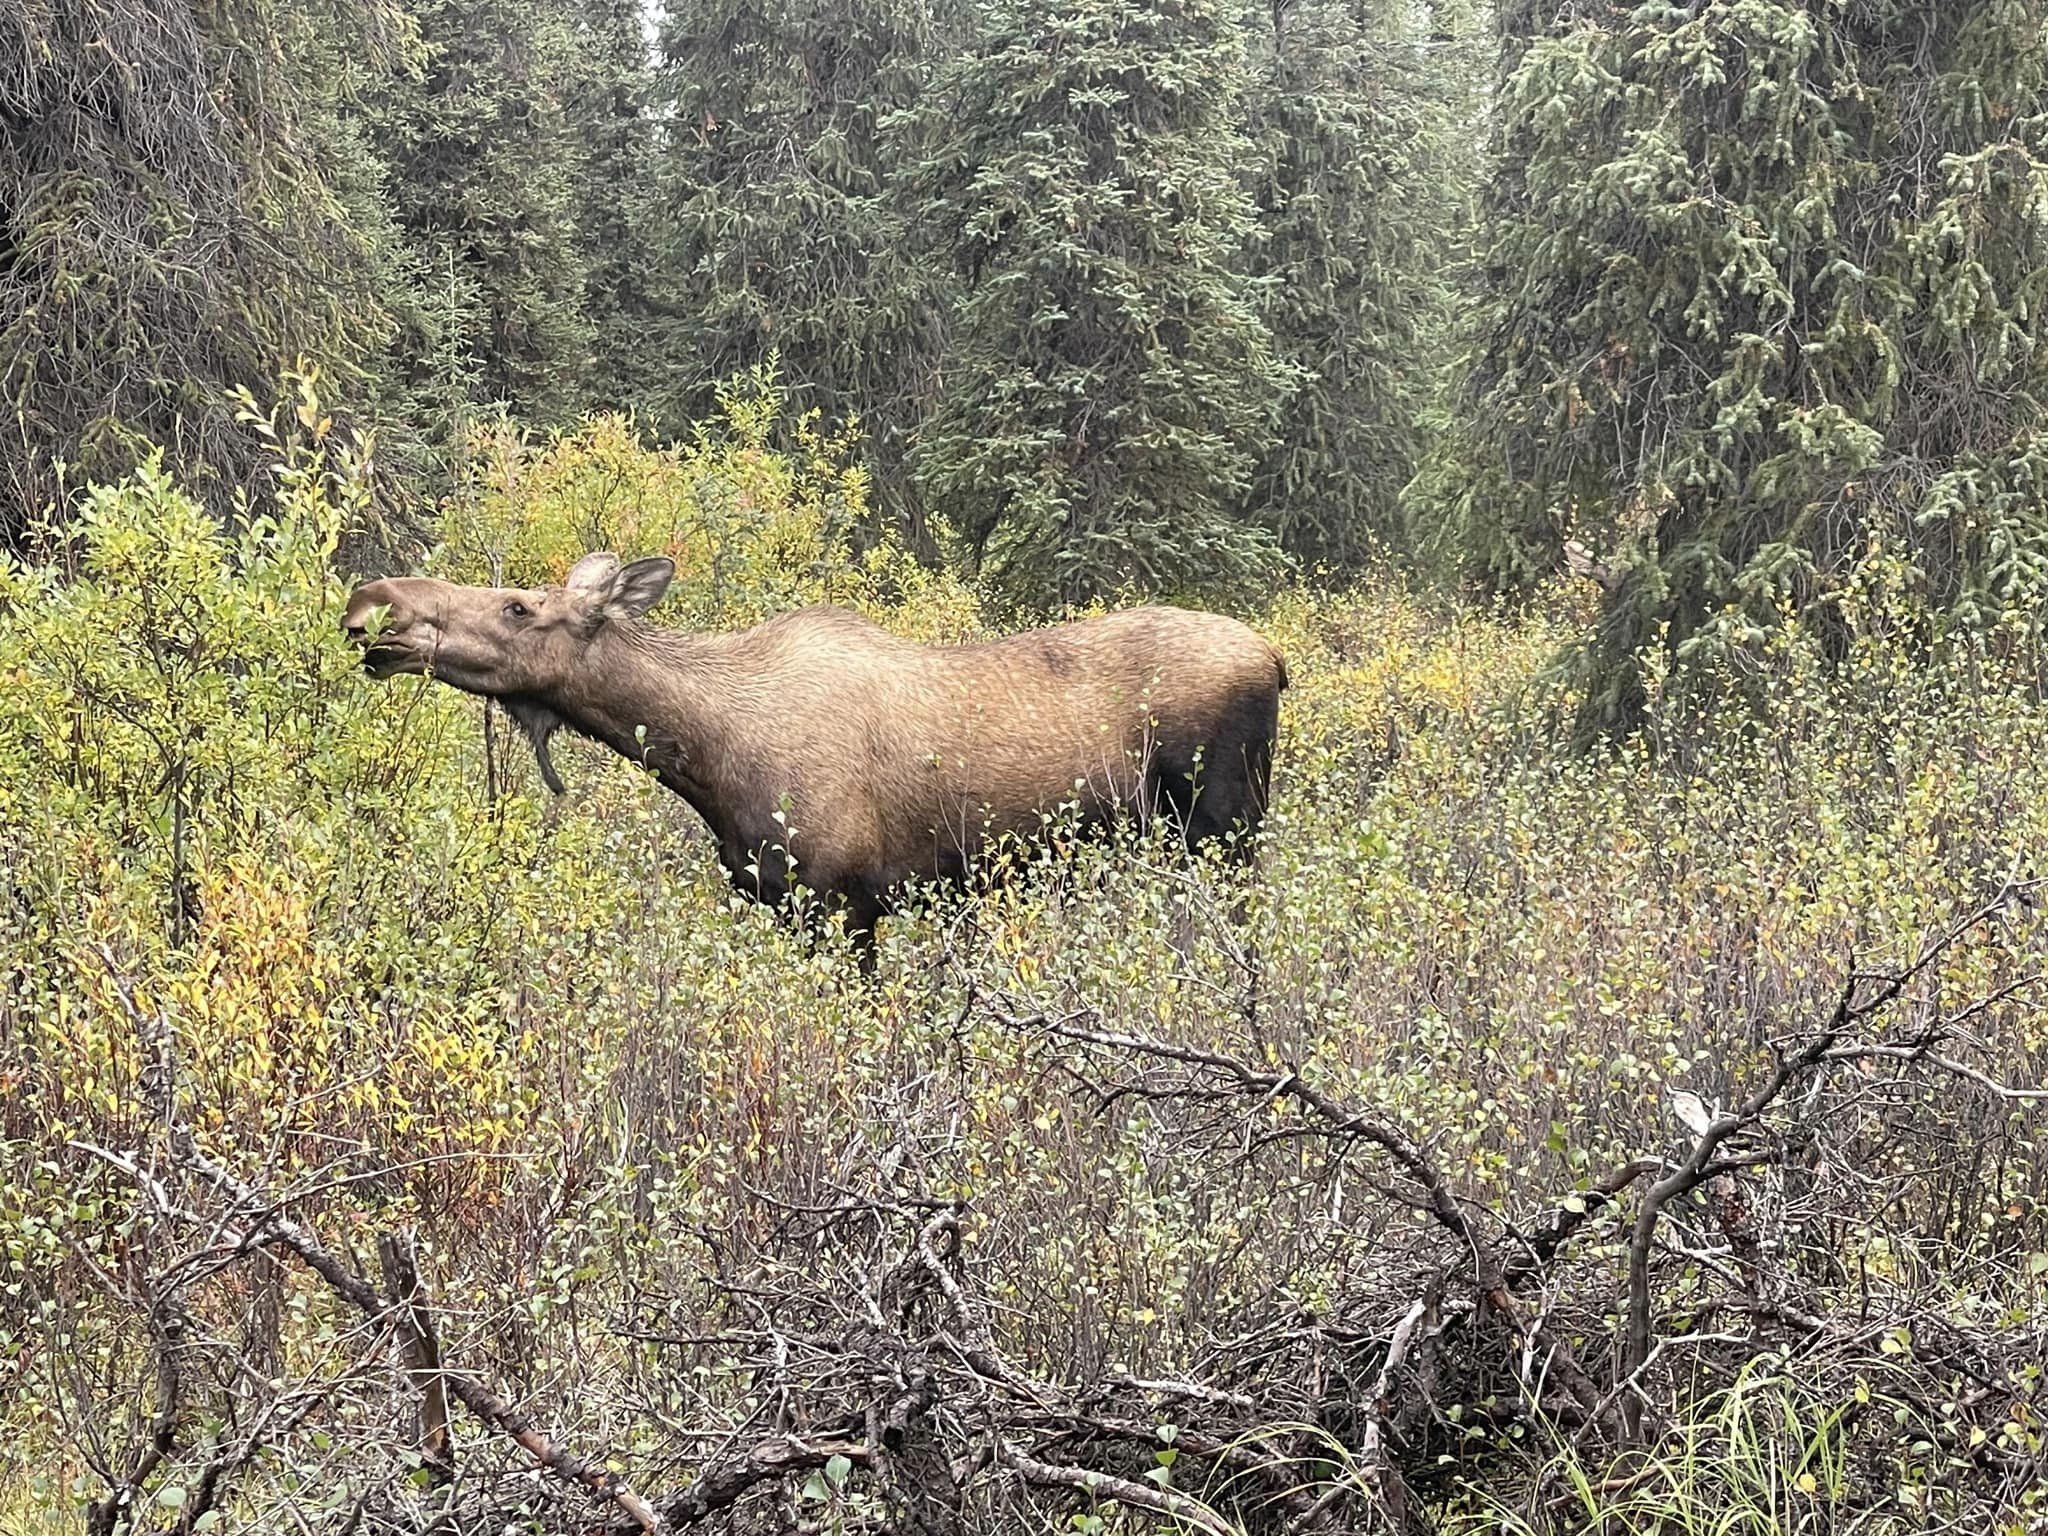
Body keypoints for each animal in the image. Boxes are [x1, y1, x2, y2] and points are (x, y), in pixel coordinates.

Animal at [342, 553, 1286, 966]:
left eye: (518, 607)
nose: (370, 602)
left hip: (1224, 825)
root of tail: (1277, 661)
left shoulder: (844, 903)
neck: (708, 761)